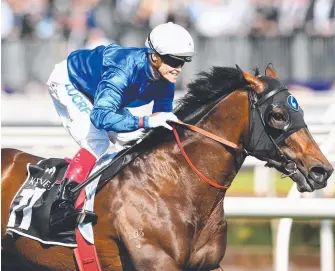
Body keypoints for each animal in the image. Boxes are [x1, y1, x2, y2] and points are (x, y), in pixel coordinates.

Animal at [1, 65, 334, 270]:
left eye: (300, 110)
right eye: (278, 115)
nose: (321, 170)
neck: (175, 185)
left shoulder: (209, 264)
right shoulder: (156, 261)